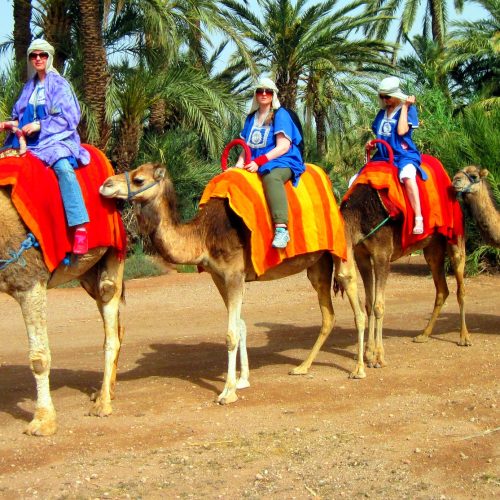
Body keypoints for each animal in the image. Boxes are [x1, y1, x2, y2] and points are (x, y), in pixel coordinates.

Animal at [100, 162, 368, 404]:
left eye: (139, 180)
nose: (106, 185)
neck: (203, 236)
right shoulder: (218, 277)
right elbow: (240, 326)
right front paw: (242, 380)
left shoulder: (234, 275)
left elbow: (230, 334)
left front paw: (227, 392)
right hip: (317, 265)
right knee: (328, 314)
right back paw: (302, 367)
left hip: (341, 250)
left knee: (357, 306)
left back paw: (359, 369)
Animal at [340, 183, 468, 376]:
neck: (359, 214)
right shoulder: (361, 255)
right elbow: (369, 304)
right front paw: (368, 353)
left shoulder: (382, 254)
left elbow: (378, 306)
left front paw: (378, 358)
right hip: (432, 247)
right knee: (442, 289)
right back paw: (423, 335)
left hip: (455, 237)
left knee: (460, 287)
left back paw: (464, 337)